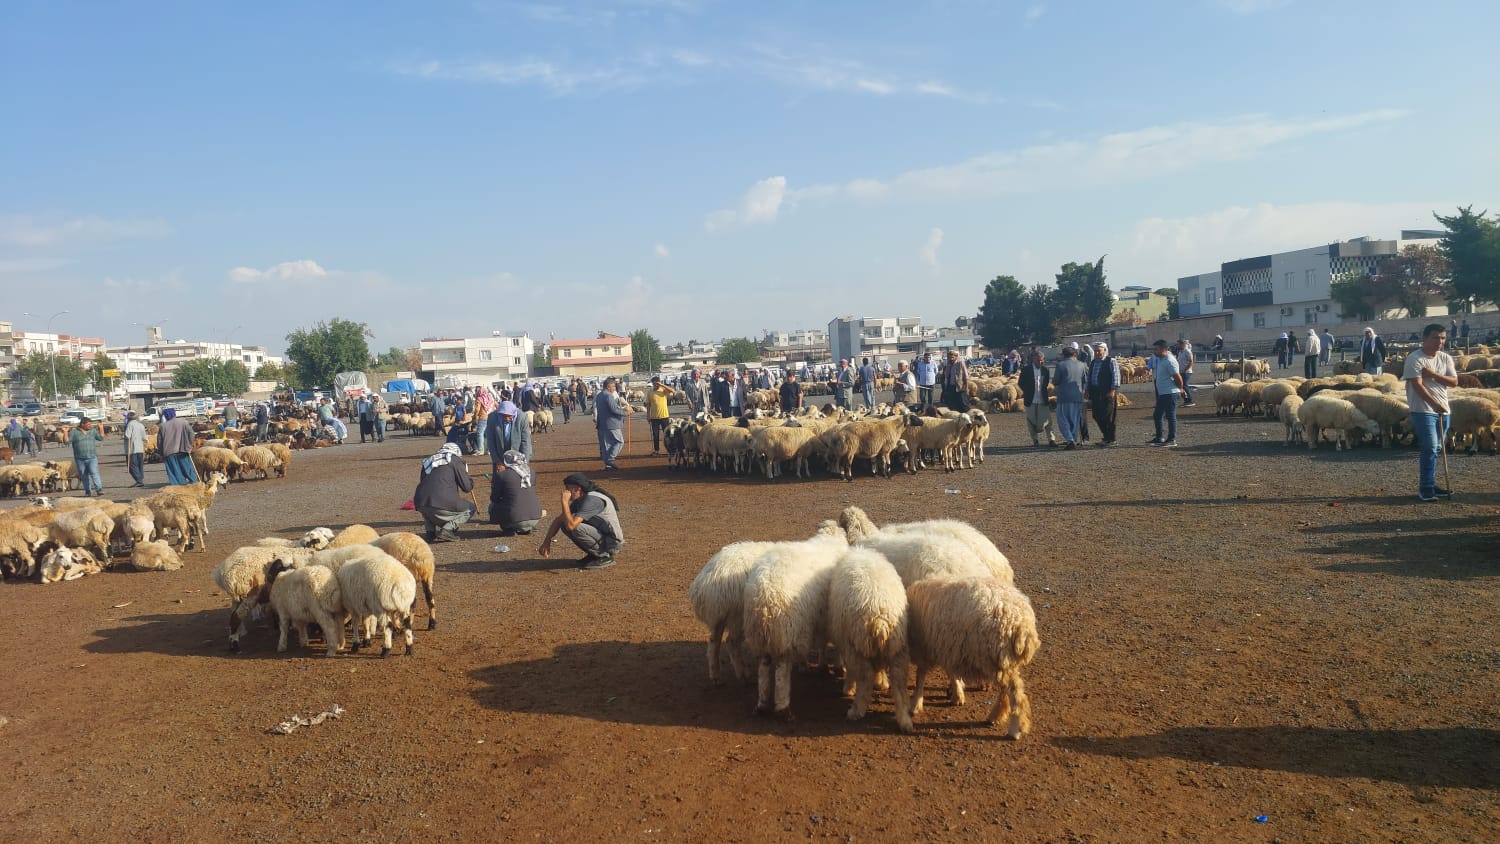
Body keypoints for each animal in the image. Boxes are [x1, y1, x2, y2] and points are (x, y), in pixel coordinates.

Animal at [687, 521, 846, 686]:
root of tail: (708, 580)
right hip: (737, 616)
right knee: (731, 642)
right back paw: (742, 673)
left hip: (719, 617)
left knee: (714, 642)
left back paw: (716, 675)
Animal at [741, 527, 852, 719]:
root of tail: (765, 597)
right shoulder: (828, 618)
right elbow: (831, 644)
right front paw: (835, 667)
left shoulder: (815, 619)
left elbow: (821, 645)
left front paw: (815, 665)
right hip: (786, 629)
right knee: (782, 670)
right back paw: (783, 708)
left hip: (761, 635)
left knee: (764, 668)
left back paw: (762, 705)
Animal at [822, 548, 912, 734]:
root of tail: (879, 619)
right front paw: (882, 682)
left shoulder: (846, 642)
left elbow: (851, 671)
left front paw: (849, 688)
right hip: (898, 647)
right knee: (899, 683)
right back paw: (905, 721)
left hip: (857, 645)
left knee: (865, 676)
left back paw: (856, 710)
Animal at [900, 575, 1044, 740]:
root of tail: (1023, 624)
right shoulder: (949, 648)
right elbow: (951, 672)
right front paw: (957, 694)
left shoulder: (924, 648)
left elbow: (920, 676)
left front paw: (916, 703)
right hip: (1004, 660)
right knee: (1007, 691)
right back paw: (996, 716)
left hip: (994, 658)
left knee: (1015, 693)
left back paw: (1015, 729)